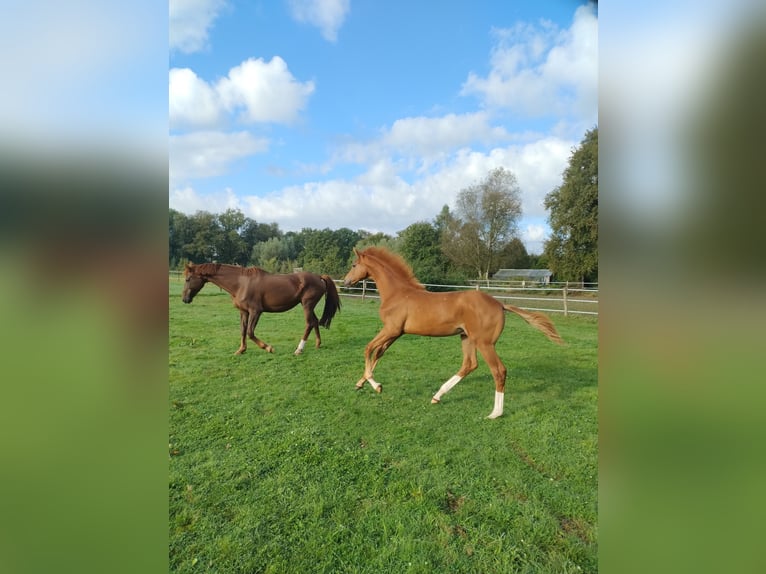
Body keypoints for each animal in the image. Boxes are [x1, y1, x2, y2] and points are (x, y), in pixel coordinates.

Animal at [182, 264, 340, 356]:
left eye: (188, 279)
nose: (185, 299)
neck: (241, 283)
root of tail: (319, 277)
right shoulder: (244, 312)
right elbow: (243, 331)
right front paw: (241, 350)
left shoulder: (255, 311)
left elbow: (250, 332)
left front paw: (268, 347)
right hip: (308, 305)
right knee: (314, 321)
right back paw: (317, 344)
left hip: (307, 305)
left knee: (309, 323)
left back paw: (299, 349)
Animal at [342, 248, 564, 418]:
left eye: (353, 265)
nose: (345, 282)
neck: (397, 294)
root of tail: (500, 304)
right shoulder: (396, 333)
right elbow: (378, 353)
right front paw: (361, 383)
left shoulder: (391, 329)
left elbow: (368, 349)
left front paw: (375, 384)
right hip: (466, 337)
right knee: (470, 364)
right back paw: (437, 396)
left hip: (485, 343)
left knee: (498, 371)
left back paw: (495, 413)